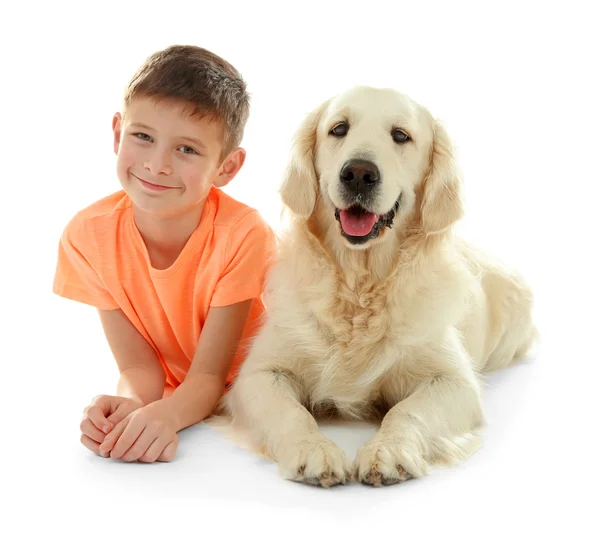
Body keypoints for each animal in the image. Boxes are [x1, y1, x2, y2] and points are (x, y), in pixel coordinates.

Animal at [216, 85, 536, 490]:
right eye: (338, 129)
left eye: (401, 135)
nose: (358, 173)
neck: (360, 283)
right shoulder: (256, 375)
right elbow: (291, 412)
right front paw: (313, 450)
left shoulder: (453, 382)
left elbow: (408, 411)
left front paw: (390, 450)